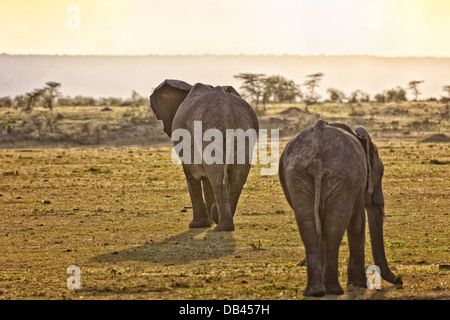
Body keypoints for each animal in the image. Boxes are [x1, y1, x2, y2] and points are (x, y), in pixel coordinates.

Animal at [150, 79, 258, 231]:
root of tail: (226, 109)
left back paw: (220, 224)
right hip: (243, 135)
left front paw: (197, 225)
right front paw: (209, 221)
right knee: (237, 177)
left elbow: (191, 176)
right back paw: (221, 222)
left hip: (209, 132)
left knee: (218, 177)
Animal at [280, 120, 402, 298]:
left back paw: (316, 291)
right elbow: (358, 224)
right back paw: (333, 290)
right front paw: (359, 284)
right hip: (342, 179)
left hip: (299, 177)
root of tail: (317, 160)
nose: (400, 279)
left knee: (310, 228)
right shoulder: (356, 187)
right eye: (381, 173)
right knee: (334, 228)